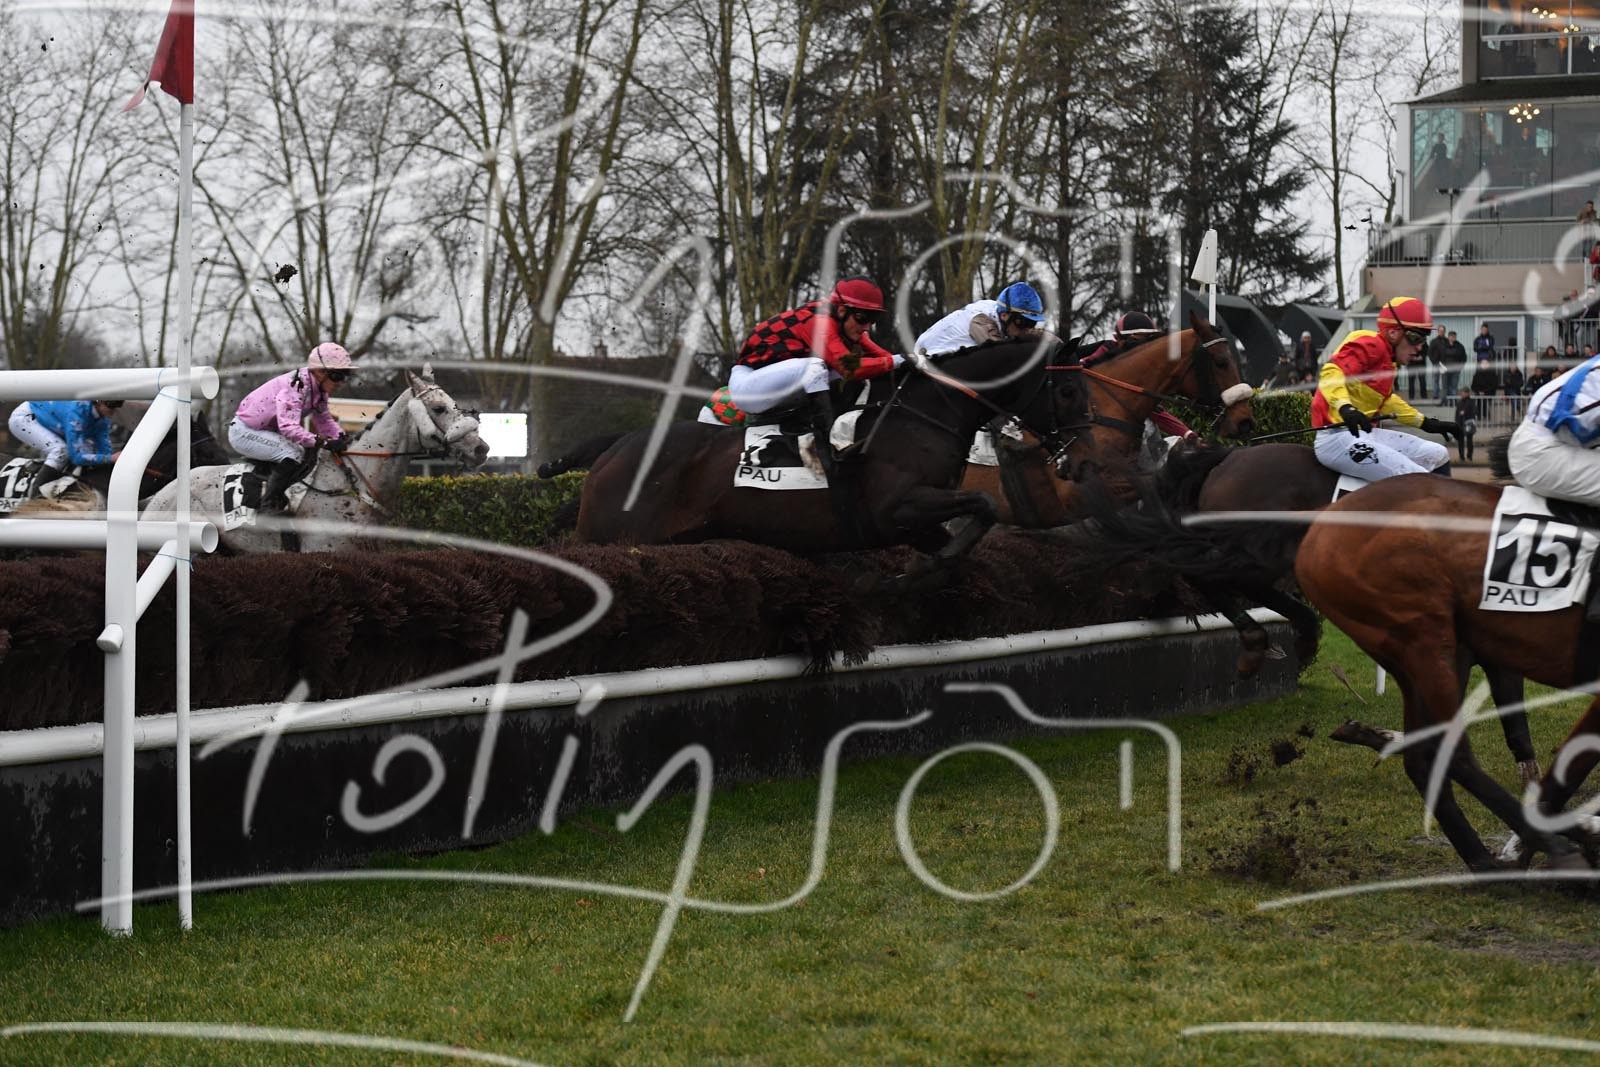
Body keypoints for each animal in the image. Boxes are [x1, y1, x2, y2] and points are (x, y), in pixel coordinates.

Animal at [573, 338, 1091, 574]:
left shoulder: (917, 519)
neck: (923, 414)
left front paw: (940, 561)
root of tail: (615, 448)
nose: (1082, 459)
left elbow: (969, 524)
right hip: (613, 535)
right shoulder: (896, 507)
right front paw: (929, 565)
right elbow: (981, 507)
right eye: (1067, 390)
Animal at [1293, 473, 1600, 872]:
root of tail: (1321, 524)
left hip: (1417, 657)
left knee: (1421, 756)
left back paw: (1484, 859)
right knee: (1452, 752)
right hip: (1423, 635)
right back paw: (1559, 843)